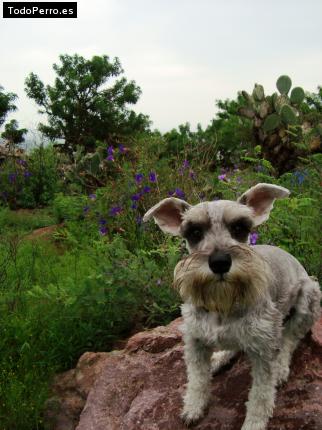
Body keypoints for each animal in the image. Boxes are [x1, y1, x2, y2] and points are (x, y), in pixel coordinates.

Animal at [144, 184, 322, 430]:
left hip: (309, 296)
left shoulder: (264, 347)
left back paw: (281, 367)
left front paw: (254, 423)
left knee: (289, 338)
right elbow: (197, 378)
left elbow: (261, 394)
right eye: (194, 232)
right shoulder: (194, 339)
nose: (219, 262)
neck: (223, 303)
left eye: (239, 228)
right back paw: (219, 357)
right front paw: (193, 407)